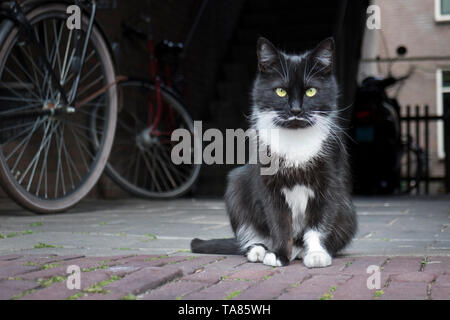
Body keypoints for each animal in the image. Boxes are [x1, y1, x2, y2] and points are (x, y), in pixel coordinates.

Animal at [192, 37, 356, 268]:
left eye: (311, 91)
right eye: (280, 91)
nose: (296, 110)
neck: (295, 138)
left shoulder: (330, 179)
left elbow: (319, 221)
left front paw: (316, 253)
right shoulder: (268, 183)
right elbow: (279, 222)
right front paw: (278, 254)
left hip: (347, 211)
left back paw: (300, 250)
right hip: (237, 183)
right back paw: (258, 250)